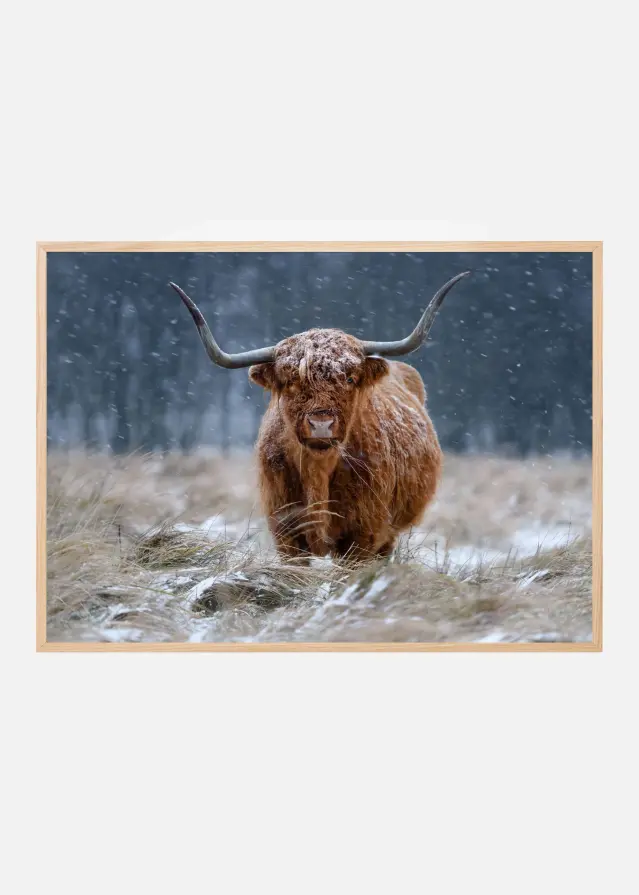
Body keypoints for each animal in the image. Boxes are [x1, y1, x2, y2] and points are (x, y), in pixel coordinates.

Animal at [170, 271, 470, 563]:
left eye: (349, 378)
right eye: (291, 381)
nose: (321, 424)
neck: (318, 471)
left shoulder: (363, 534)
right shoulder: (286, 532)